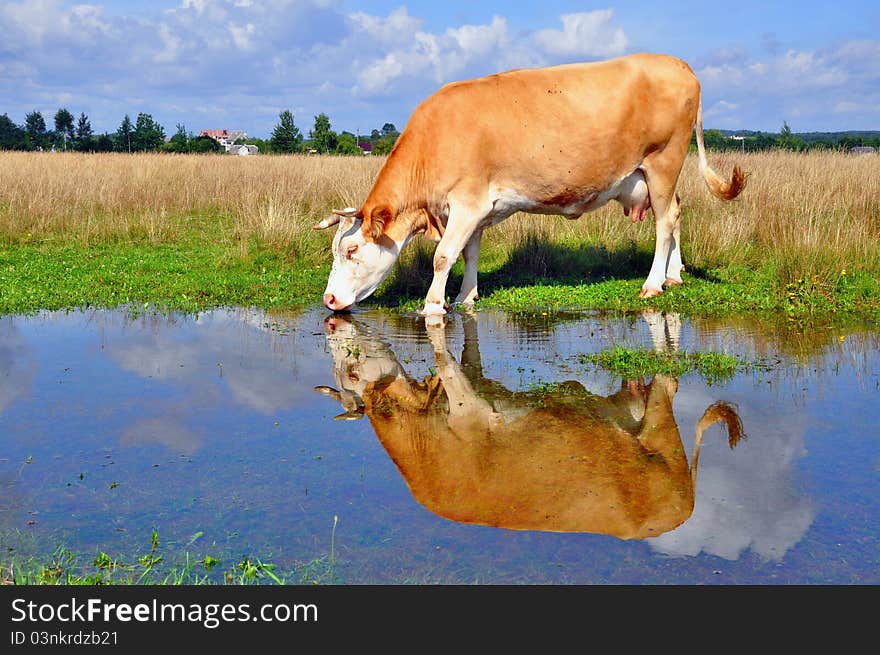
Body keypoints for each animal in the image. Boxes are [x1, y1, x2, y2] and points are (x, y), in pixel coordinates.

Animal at [312, 52, 744, 316]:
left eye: (350, 250)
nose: (329, 298)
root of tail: (678, 63)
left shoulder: (467, 203)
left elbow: (443, 256)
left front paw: (434, 305)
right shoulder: (475, 209)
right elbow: (469, 253)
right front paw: (467, 296)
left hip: (663, 160)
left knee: (665, 221)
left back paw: (653, 283)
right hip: (653, 175)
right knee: (676, 212)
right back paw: (674, 273)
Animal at [312, 312, 744, 540]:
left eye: (353, 371)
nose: (333, 319)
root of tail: (686, 507)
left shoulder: (470, 409)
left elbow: (446, 361)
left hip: (662, 430)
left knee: (668, 380)